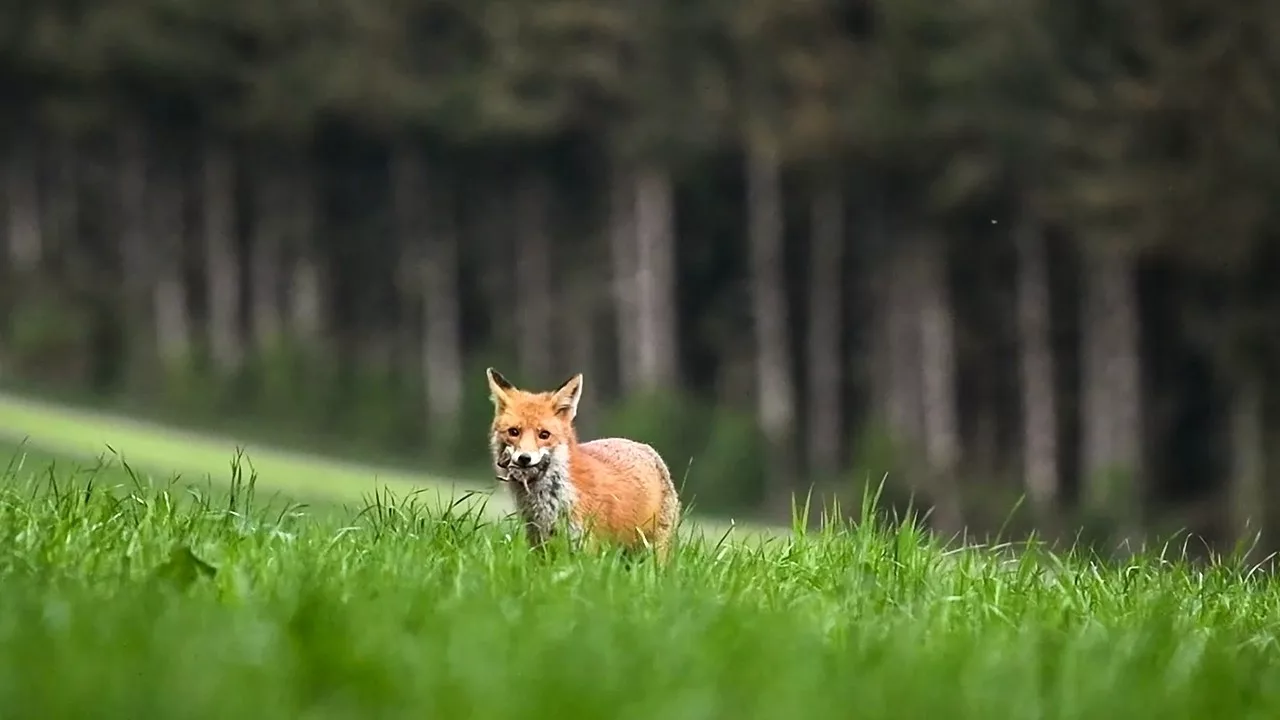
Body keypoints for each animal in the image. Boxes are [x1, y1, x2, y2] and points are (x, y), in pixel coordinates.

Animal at [483, 366, 680, 558]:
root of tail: (644, 447)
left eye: (544, 435)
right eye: (514, 432)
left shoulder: (584, 547)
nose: (524, 458)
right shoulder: (538, 543)